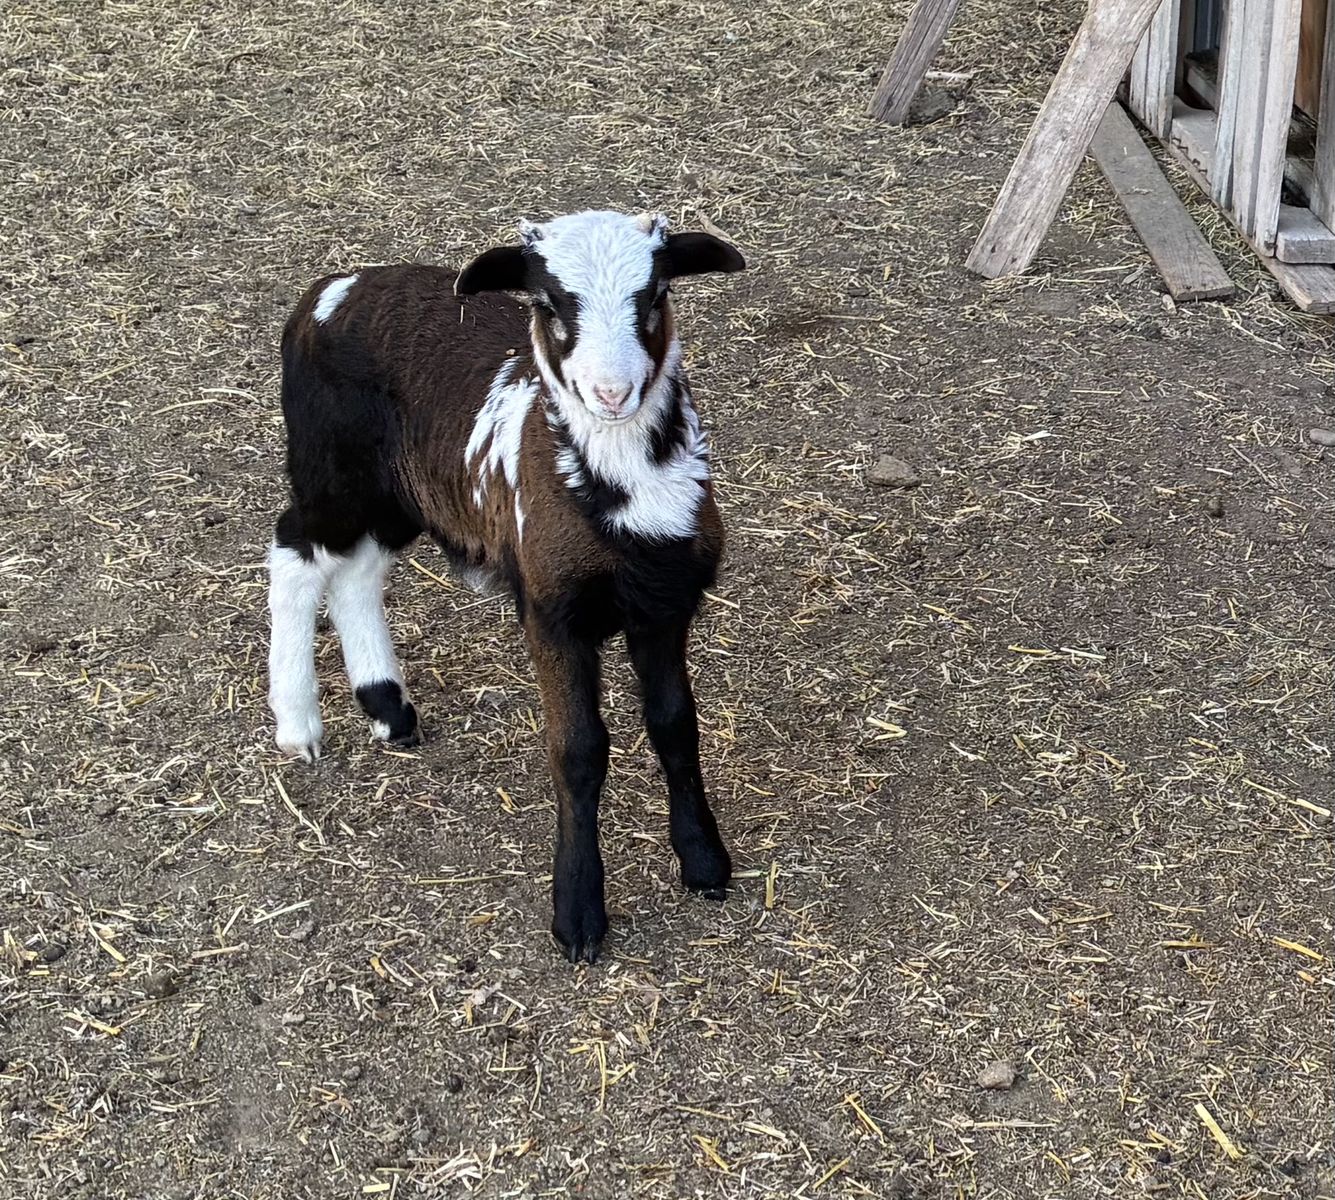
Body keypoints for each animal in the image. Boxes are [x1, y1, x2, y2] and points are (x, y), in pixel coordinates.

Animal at [266, 210, 746, 961]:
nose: (612, 393)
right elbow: (578, 750)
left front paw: (703, 863)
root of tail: (332, 289)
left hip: (403, 491)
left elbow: (675, 727)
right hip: (333, 468)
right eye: (548, 304)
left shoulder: (663, 603)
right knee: (296, 552)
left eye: (655, 296)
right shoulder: (551, 609)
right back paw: (298, 724)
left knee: (358, 573)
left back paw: (388, 708)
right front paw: (577, 918)